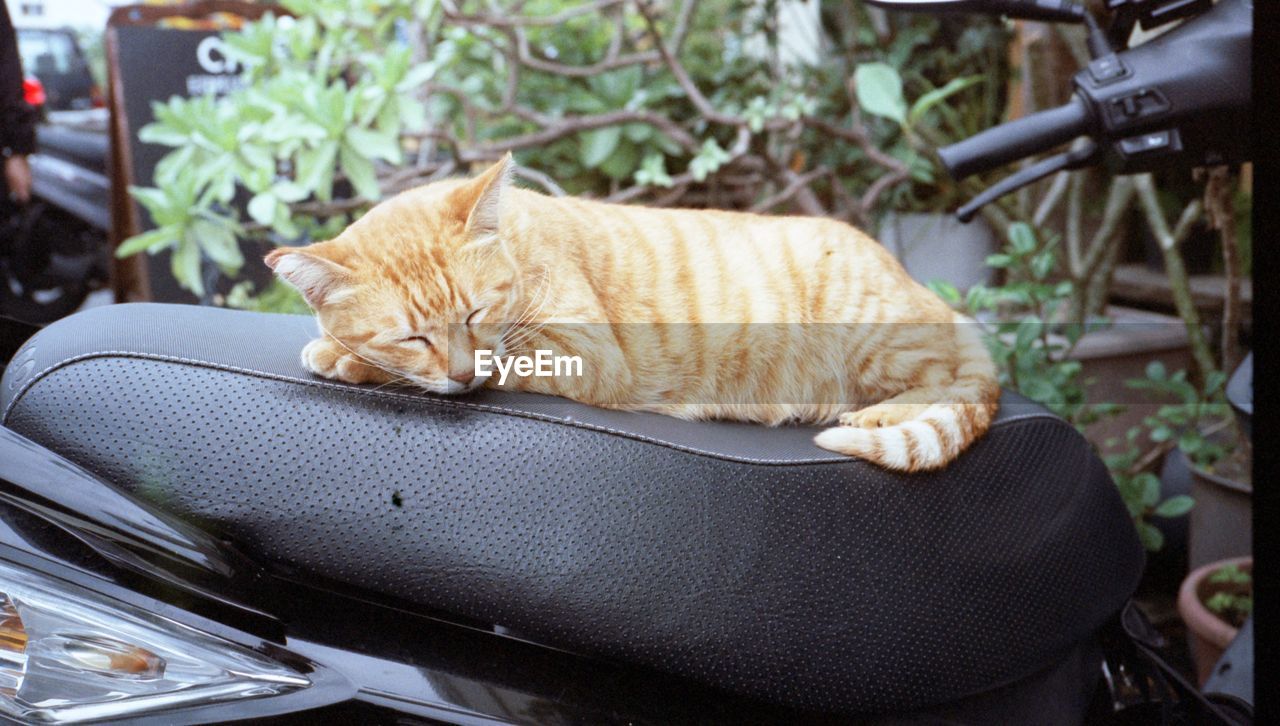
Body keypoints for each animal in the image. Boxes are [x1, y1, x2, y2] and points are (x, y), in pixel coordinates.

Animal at [267, 154, 998, 471]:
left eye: (475, 314)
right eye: (412, 336)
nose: (461, 374)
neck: (522, 242)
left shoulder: (582, 354)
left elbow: (506, 358)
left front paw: (342, 357)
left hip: (875, 333)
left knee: (951, 384)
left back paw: (879, 413)